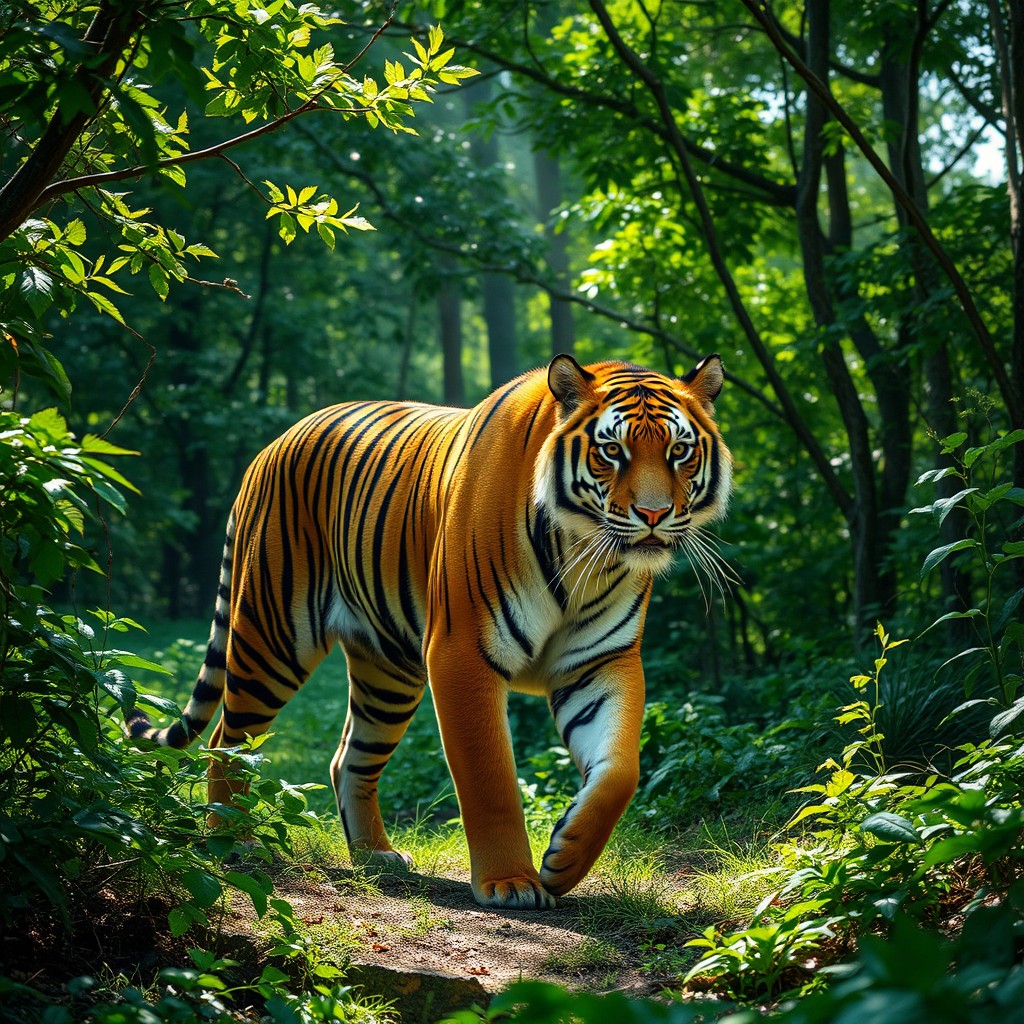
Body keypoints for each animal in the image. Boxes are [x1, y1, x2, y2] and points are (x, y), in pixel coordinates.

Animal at [127, 353, 732, 909]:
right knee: (227, 740)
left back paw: (374, 856)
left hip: (387, 673)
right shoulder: (463, 652)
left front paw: (564, 859)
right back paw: (234, 841)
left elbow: (620, 771)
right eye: (612, 451)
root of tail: (270, 446)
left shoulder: (600, 662)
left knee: (349, 758)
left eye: (679, 451)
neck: (584, 555)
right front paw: (511, 883)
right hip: (271, 639)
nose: (653, 514)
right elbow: (489, 778)